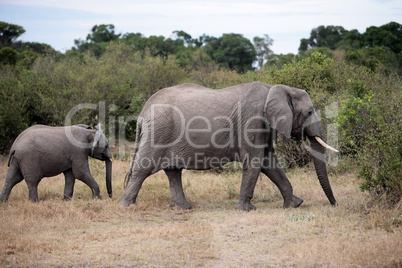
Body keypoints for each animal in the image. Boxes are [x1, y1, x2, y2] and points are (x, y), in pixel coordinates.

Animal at [118, 82, 338, 210]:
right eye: (309, 112)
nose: (334, 205)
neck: (276, 89)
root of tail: (143, 112)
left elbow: (268, 162)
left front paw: (295, 204)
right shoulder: (253, 118)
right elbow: (255, 160)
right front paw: (246, 209)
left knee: (173, 171)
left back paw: (183, 208)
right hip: (160, 131)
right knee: (144, 168)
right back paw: (126, 206)